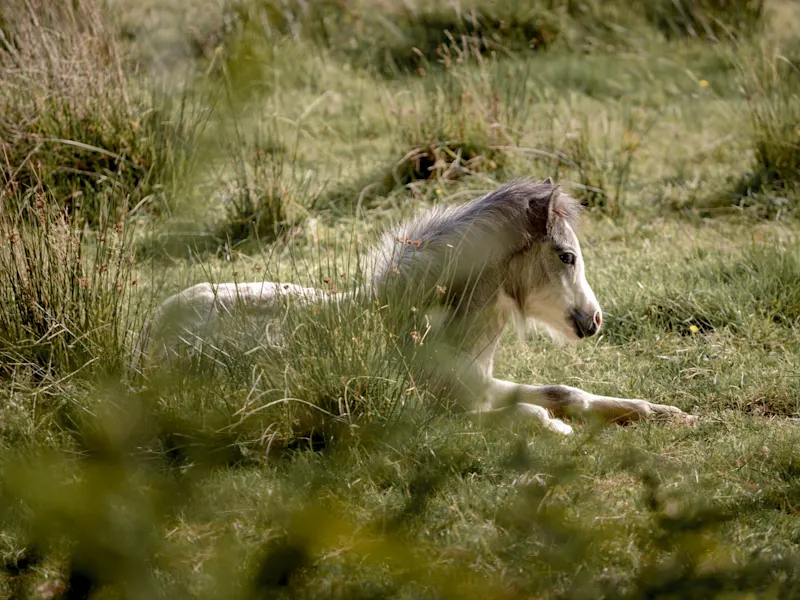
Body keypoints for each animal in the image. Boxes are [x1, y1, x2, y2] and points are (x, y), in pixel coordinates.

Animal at [132, 179, 696, 434]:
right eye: (566, 255)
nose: (594, 321)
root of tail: (148, 335)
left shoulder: (480, 383)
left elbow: (565, 392)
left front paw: (664, 412)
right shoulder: (435, 410)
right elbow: (530, 412)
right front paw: (554, 428)